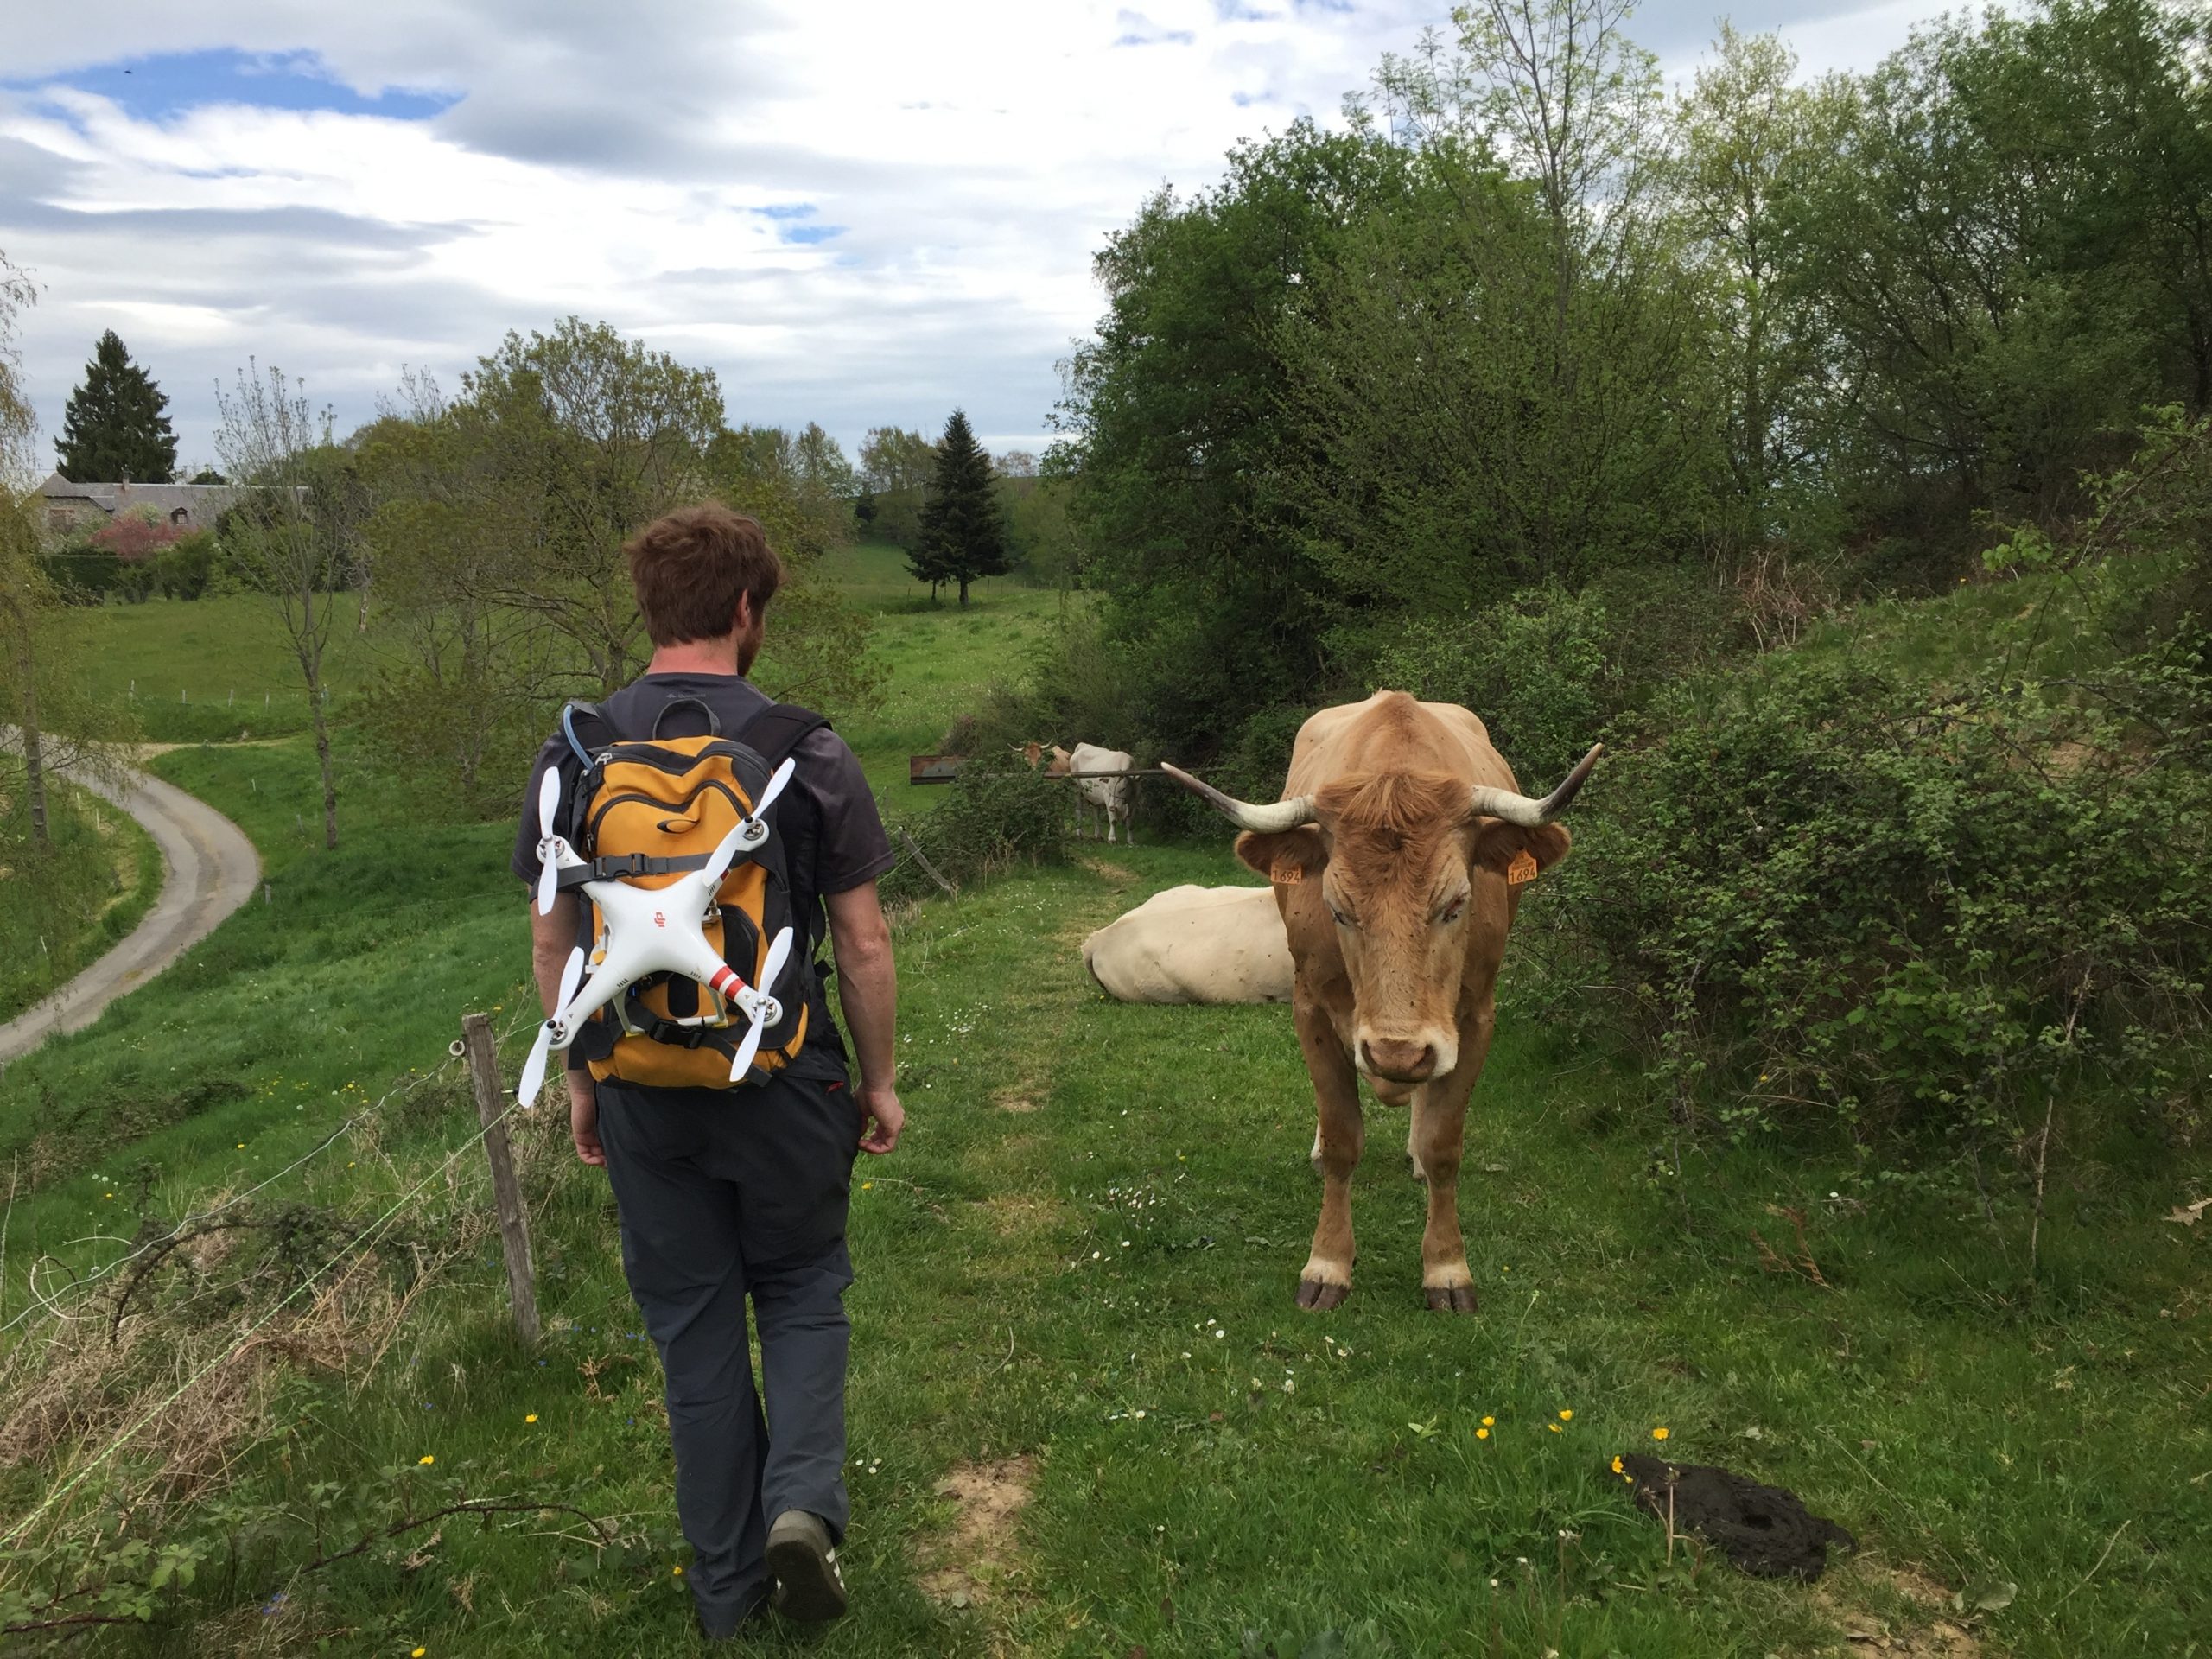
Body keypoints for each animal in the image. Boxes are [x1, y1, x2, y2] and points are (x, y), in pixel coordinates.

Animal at [1164, 691, 1598, 1314]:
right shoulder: (1311, 1010)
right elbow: (1342, 1138)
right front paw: (1327, 1263)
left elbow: (1444, 1144)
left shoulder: (1476, 1017)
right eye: (1337, 909)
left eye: (1456, 903)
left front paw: (1447, 1268)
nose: (1398, 1053)